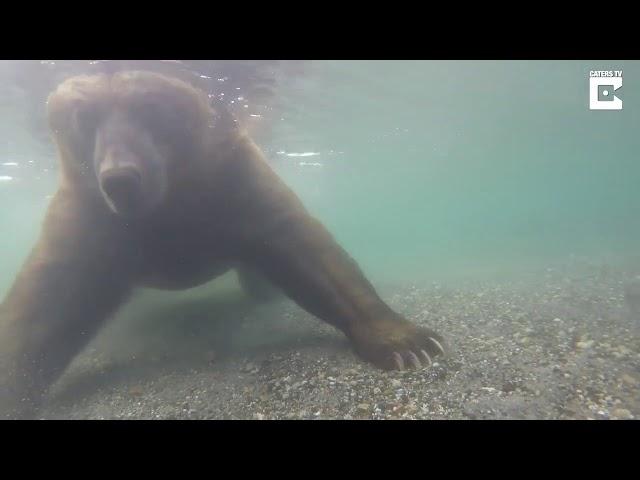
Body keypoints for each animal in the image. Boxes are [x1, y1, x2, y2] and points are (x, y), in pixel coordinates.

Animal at [0, 69, 444, 418]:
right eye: (84, 116)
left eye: (151, 107)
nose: (121, 178)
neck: (168, 208)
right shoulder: (92, 219)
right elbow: (40, 310)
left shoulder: (232, 186)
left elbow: (311, 253)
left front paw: (412, 343)